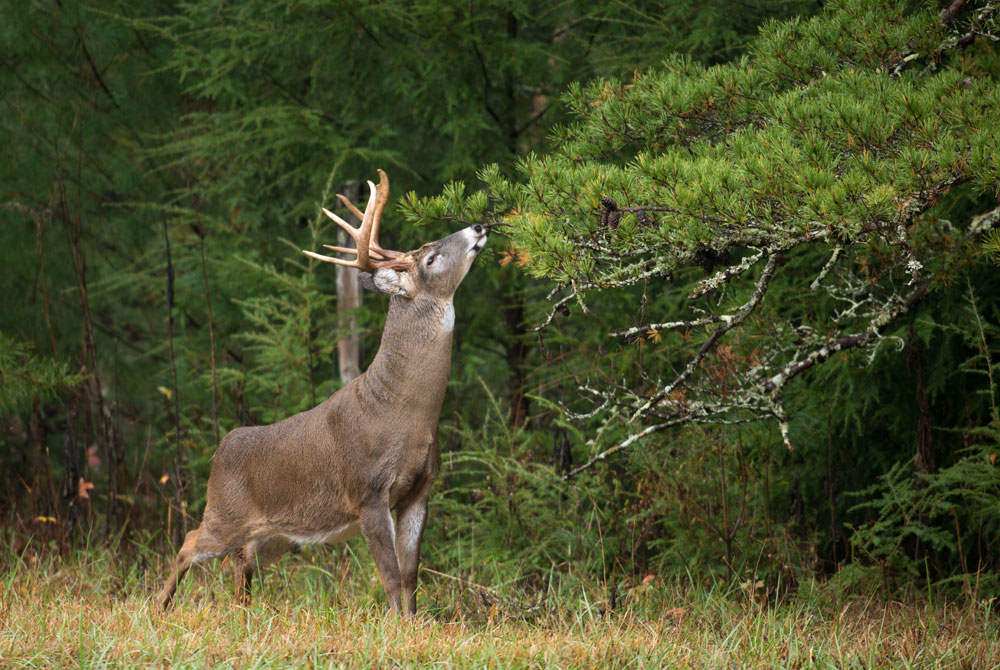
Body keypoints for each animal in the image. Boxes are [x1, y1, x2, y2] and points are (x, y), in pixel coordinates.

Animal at [156, 171, 488, 616]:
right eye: (431, 258)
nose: (479, 226)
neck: (403, 412)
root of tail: (220, 449)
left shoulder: (420, 490)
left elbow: (411, 575)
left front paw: (416, 624)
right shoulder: (368, 490)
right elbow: (390, 575)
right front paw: (397, 625)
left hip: (276, 534)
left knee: (241, 560)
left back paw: (243, 612)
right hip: (224, 512)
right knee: (189, 543)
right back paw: (158, 607)